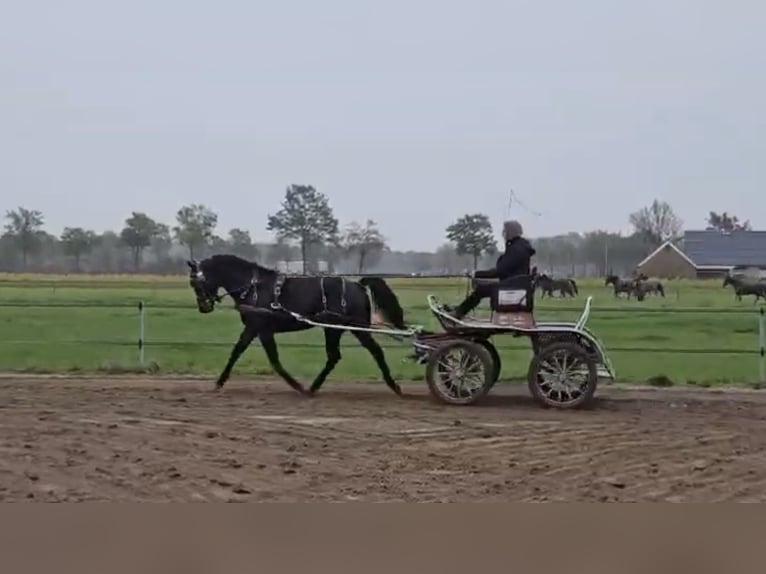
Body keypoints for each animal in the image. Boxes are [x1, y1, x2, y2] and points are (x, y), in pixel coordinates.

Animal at [187, 254, 412, 398]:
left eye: (196, 283)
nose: (203, 307)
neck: (253, 287)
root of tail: (357, 285)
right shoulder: (253, 329)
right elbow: (238, 351)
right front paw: (219, 382)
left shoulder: (261, 329)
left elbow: (272, 360)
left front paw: (296, 385)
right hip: (341, 328)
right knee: (346, 355)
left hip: (338, 328)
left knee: (361, 352)